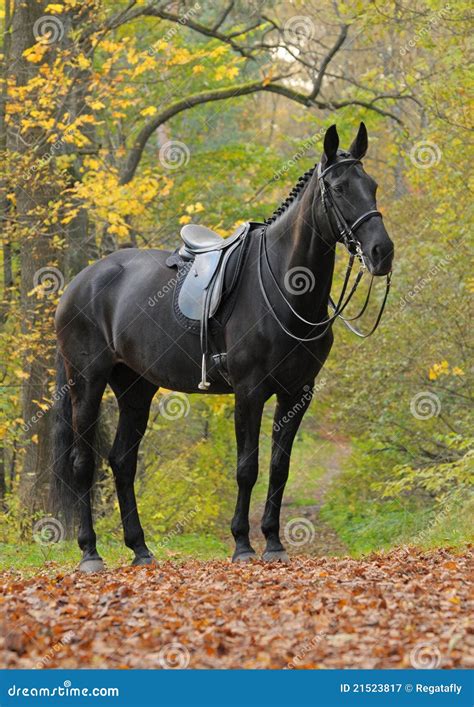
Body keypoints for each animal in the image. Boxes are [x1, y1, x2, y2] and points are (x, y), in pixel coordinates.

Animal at [52, 124, 392, 572]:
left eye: (372, 186)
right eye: (338, 188)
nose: (382, 252)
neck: (285, 287)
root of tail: (80, 282)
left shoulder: (297, 393)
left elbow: (279, 468)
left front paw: (274, 542)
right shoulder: (249, 391)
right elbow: (247, 467)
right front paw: (243, 545)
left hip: (135, 388)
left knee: (123, 463)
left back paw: (141, 549)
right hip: (87, 382)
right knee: (83, 463)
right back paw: (90, 552)